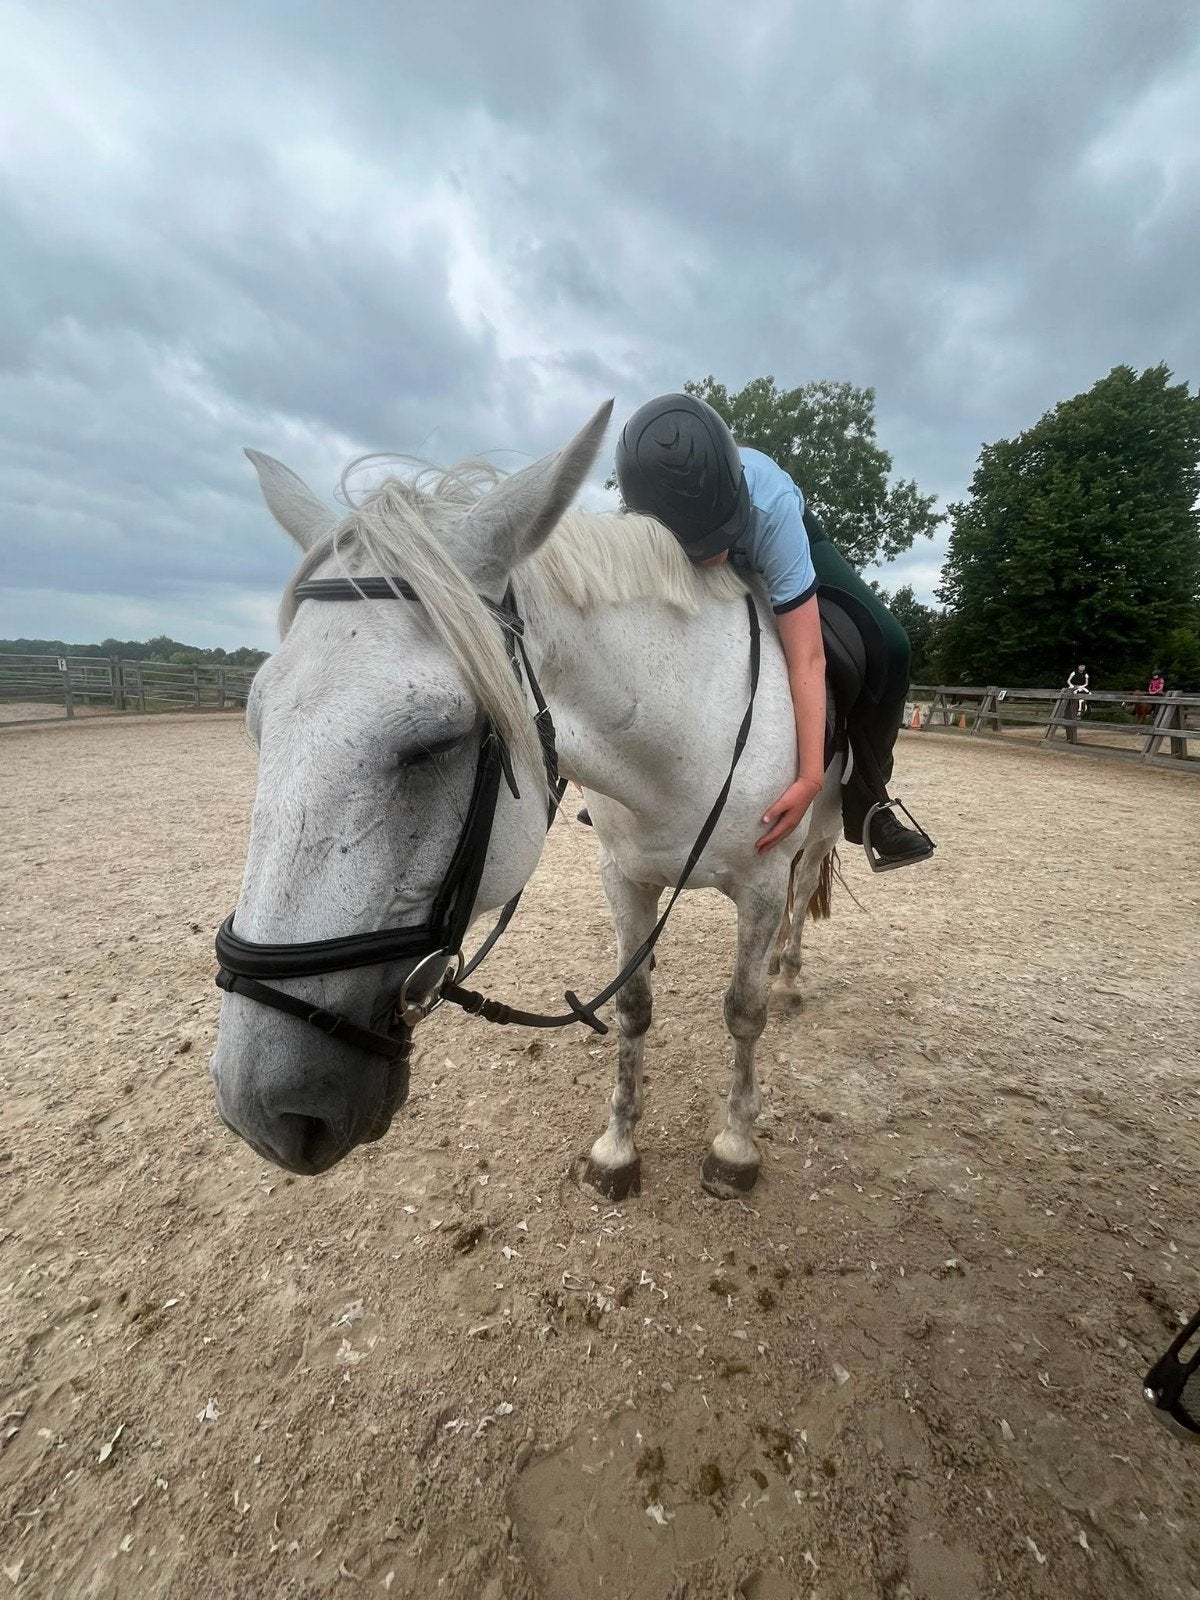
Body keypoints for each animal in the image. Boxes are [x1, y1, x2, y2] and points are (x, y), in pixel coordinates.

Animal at [210, 403, 845, 1199]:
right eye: (257, 722)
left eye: (438, 742)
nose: (260, 1113)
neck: (685, 733)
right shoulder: (625, 877)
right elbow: (633, 1008)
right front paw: (617, 1150)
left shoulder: (759, 883)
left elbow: (743, 1011)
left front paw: (734, 1147)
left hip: (821, 823)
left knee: (802, 890)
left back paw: (789, 978)